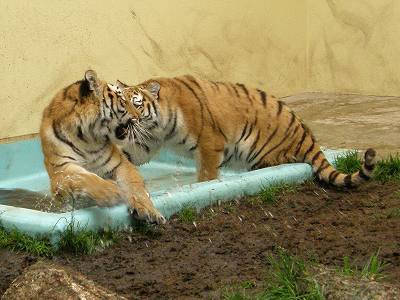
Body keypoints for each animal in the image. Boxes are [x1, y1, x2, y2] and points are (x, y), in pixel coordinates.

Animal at [39, 70, 165, 224]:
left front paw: (149, 210)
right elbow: (85, 177)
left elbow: (135, 186)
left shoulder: (121, 164)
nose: (138, 117)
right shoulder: (61, 170)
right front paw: (111, 192)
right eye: (122, 100)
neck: (86, 138)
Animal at [106, 74, 376, 185]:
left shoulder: (209, 143)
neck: (157, 126)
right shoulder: (145, 143)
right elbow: (125, 157)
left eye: (135, 104)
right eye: (120, 103)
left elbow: (207, 175)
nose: (123, 122)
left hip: (262, 154)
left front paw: (204, 186)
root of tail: (307, 136)